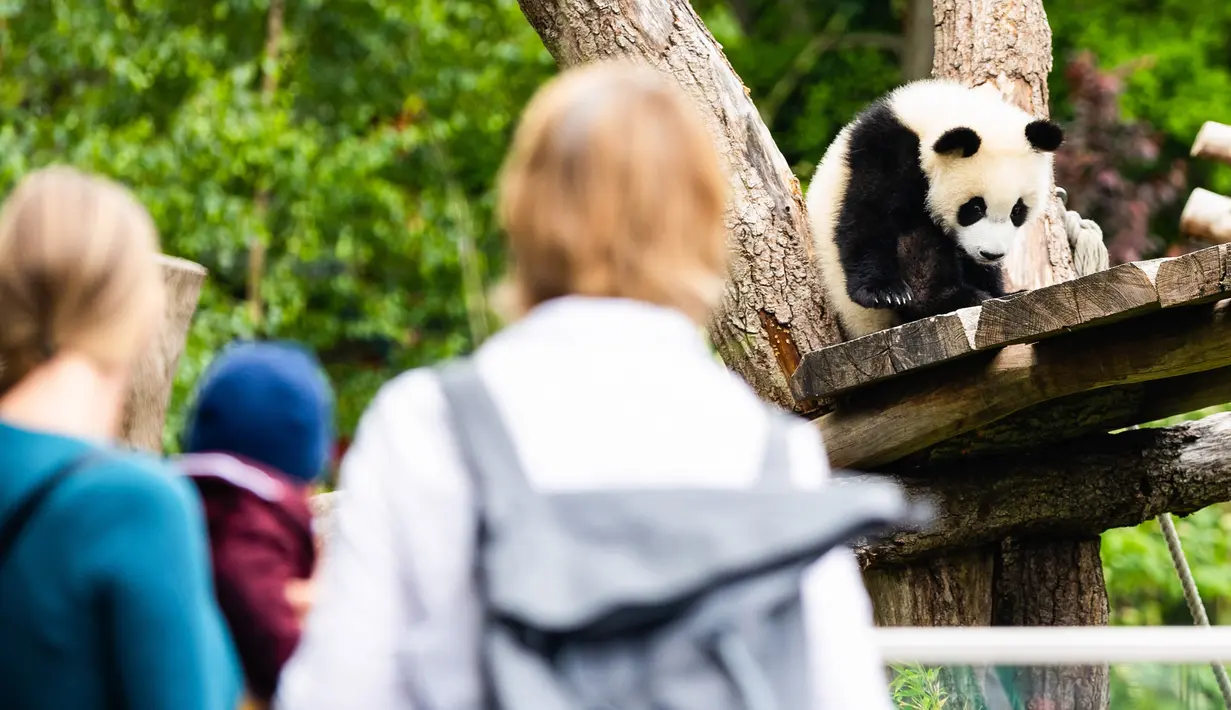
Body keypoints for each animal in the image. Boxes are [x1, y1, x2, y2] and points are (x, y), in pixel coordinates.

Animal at [805, 79, 1064, 339]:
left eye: (1017, 211)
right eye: (975, 207)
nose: (991, 255)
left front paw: (999, 291)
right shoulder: (883, 153)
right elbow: (868, 215)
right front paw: (884, 292)